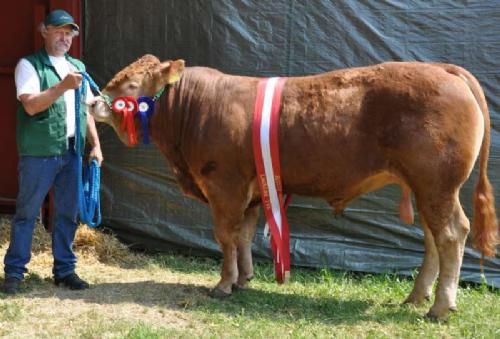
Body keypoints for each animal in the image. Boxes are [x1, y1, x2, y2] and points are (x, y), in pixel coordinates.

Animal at [89, 54, 496, 320]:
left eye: (130, 86)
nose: (93, 102)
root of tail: (442, 68)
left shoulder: (224, 185)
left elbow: (225, 235)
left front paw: (224, 283)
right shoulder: (252, 190)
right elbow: (243, 235)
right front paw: (245, 279)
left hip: (437, 183)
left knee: (451, 234)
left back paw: (440, 307)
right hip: (427, 186)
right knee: (431, 237)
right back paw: (416, 297)